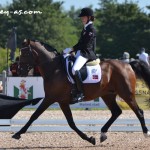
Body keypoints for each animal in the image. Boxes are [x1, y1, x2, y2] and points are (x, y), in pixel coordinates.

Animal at [12, 39, 150, 145]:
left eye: (24, 53)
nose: (20, 72)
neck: (54, 69)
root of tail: (128, 65)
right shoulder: (61, 101)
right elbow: (70, 122)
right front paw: (90, 139)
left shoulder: (51, 98)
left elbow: (35, 116)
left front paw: (17, 134)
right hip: (108, 95)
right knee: (116, 112)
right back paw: (103, 134)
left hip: (126, 94)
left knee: (139, 111)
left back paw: (146, 133)